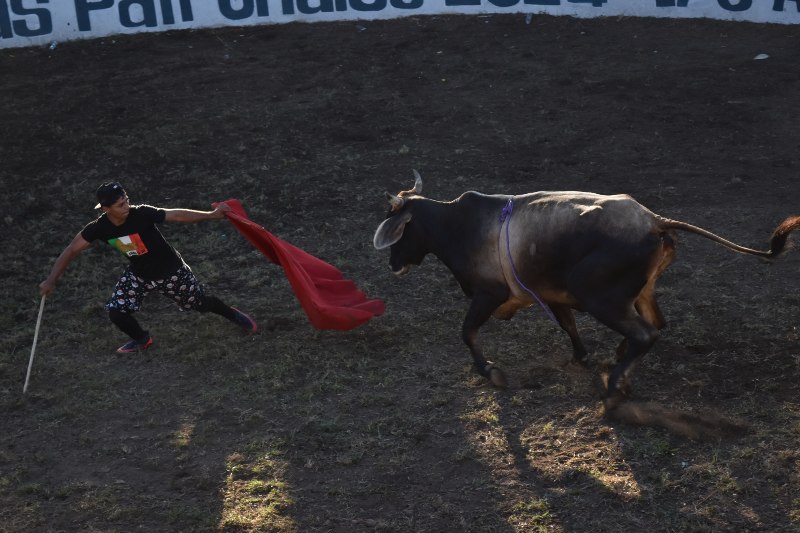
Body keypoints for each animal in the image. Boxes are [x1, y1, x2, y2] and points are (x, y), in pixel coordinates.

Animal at [376, 170, 800, 408]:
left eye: (400, 230)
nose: (393, 264)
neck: (458, 225)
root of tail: (654, 220)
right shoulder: (551, 294)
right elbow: (568, 325)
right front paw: (581, 356)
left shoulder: (488, 294)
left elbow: (467, 332)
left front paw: (489, 370)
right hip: (639, 293)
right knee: (655, 325)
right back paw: (620, 359)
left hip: (602, 299)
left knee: (646, 334)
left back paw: (615, 387)